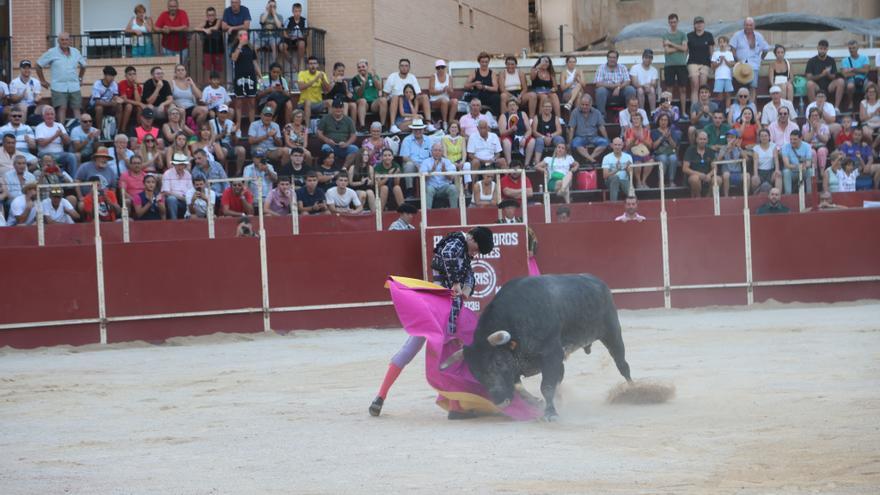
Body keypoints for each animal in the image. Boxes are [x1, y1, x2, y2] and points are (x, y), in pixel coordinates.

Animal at [444, 274, 628, 420]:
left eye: (498, 362)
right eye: (474, 372)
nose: (500, 402)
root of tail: (597, 281)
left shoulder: (552, 355)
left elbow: (546, 386)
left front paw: (550, 414)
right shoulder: (524, 366)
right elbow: (522, 388)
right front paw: (539, 403)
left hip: (612, 333)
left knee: (622, 364)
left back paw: (631, 391)